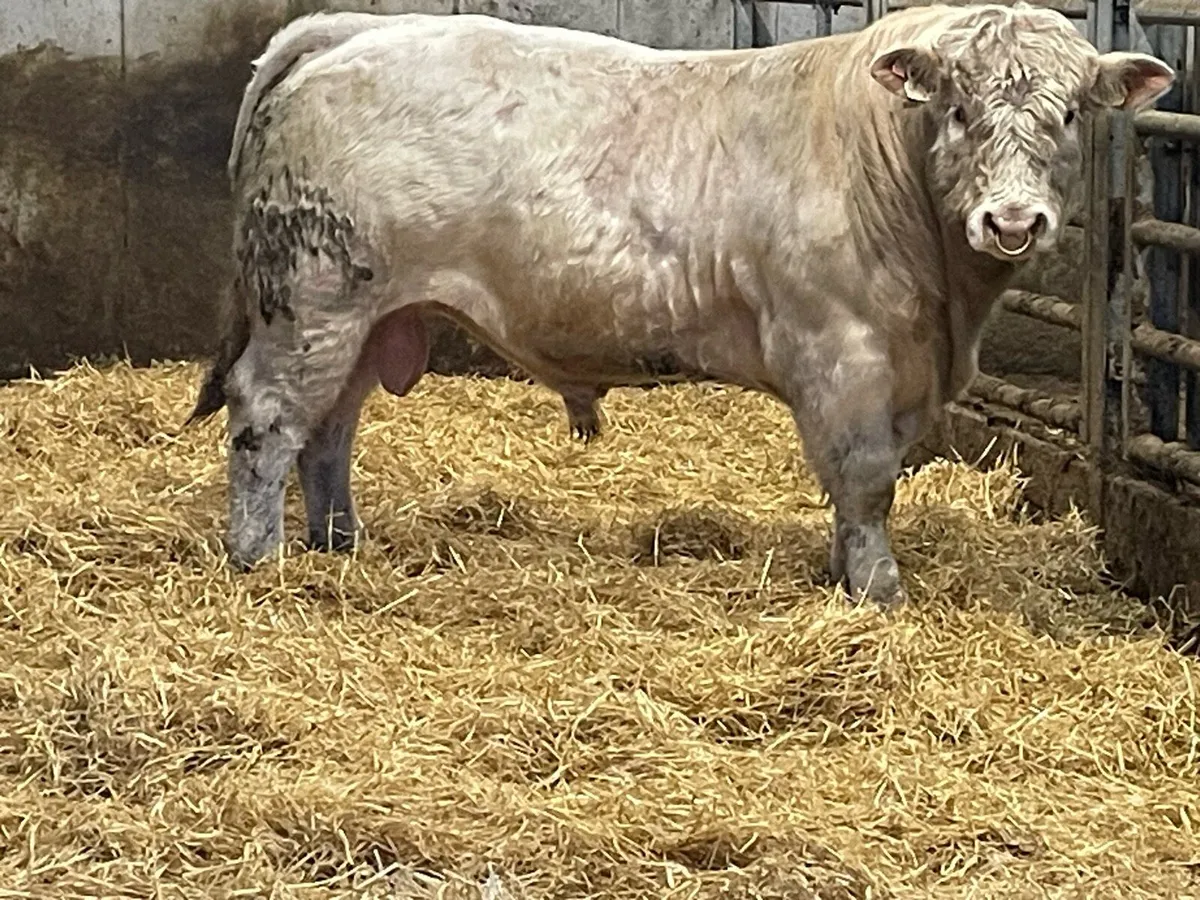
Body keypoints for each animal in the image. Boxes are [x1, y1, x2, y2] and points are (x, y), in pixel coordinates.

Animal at [187, 4, 1173, 604]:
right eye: (959, 110)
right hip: (311, 301)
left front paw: (842, 574)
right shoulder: (843, 349)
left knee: (329, 429)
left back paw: (339, 544)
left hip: (367, 318)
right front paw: (879, 591)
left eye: (1072, 115)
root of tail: (351, 29)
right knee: (266, 421)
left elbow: (858, 485)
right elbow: (864, 479)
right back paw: (259, 559)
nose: (1013, 221)